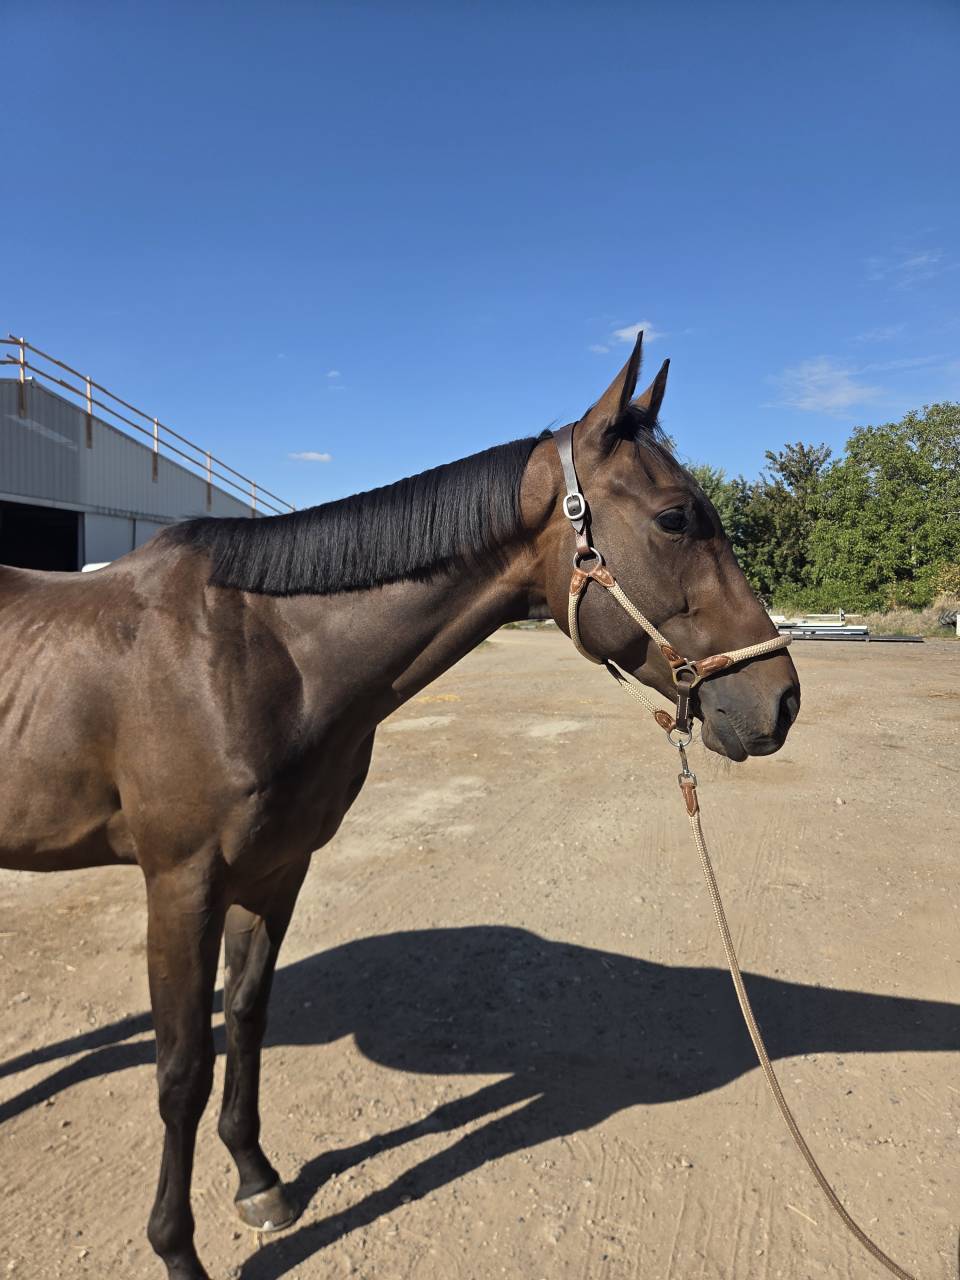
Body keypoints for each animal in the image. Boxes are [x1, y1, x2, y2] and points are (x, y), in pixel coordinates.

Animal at [0, 335, 800, 1279]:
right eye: (676, 518)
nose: (780, 700)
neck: (252, 653)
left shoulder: (274, 873)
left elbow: (246, 1021)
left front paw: (259, 1182)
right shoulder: (181, 884)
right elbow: (181, 1070)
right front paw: (177, 1250)